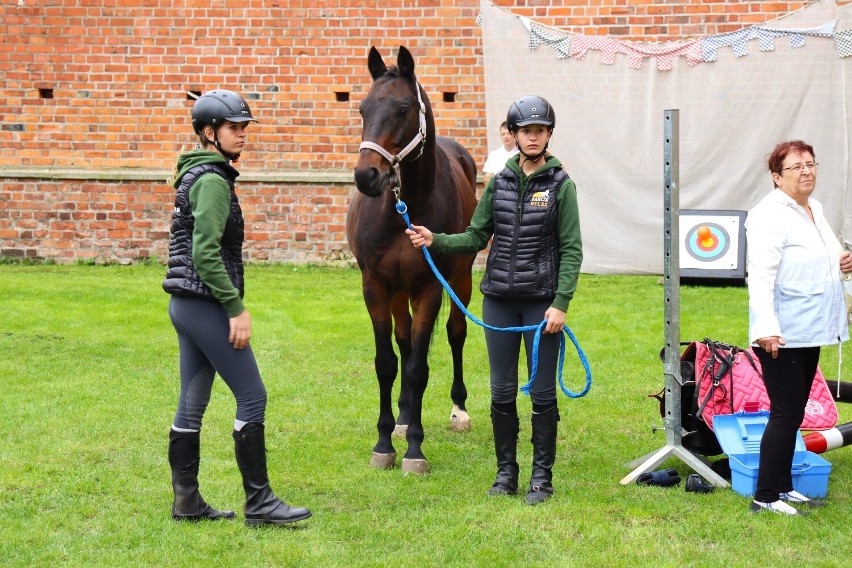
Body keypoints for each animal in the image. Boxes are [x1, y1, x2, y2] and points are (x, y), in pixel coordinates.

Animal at [346, 46, 480, 474]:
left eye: (403, 109)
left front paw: (415, 452)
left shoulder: (429, 288)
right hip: (396, 293)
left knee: (455, 334)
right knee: (404, 343)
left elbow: (419, 368)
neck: (404, 208)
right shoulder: (375, 287)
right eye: (363, 109)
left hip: (460, 281)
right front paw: (385, 442)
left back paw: (458, 411)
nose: (366, 176)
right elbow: (388, 363)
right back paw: (404, 417)